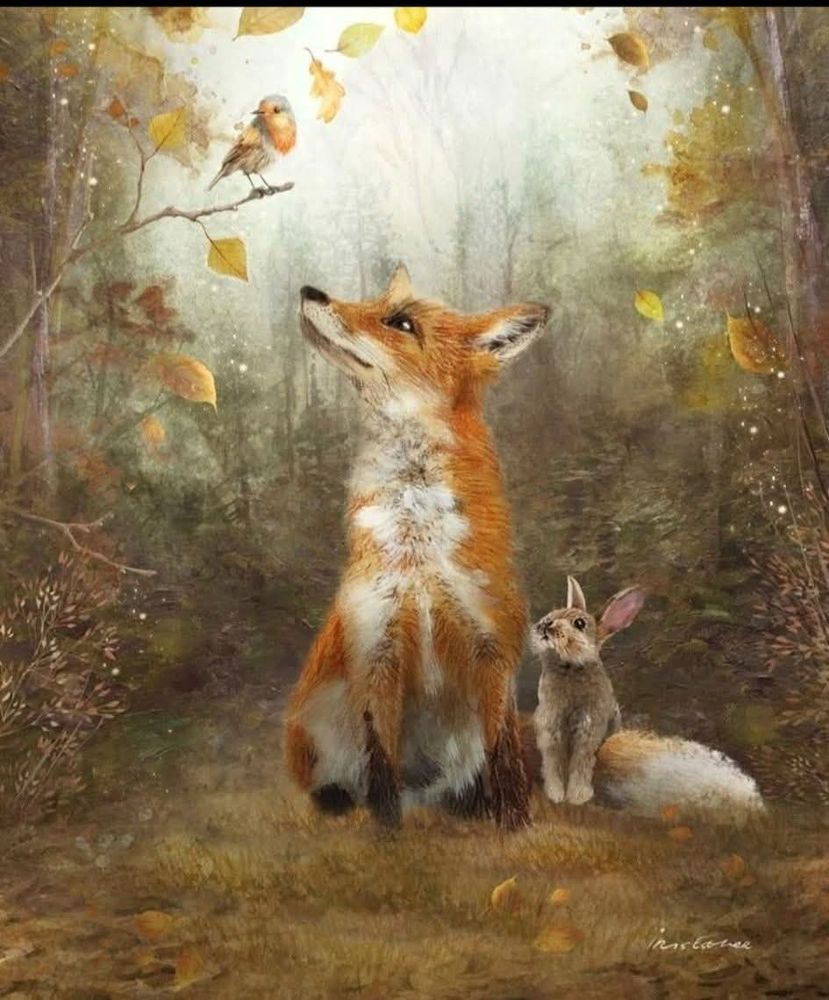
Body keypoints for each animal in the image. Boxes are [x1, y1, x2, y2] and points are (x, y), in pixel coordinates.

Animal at [283, 264, 550, 830]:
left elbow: (504, 754)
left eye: (400, 322)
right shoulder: (378, 647)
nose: (310, 290)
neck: (418, 552)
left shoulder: (491, 648)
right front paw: (387, 831)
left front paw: (513, 821)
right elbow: (381, 762)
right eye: (373, 301)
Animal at [530, 576, 645, 805]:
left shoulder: (589, 727)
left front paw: (577, 796)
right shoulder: (550, 728)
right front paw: (555, 794)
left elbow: (581, 763)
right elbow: (553, 762)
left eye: (580, 623)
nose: (546, 623)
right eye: (553, 614)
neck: (571, 669)